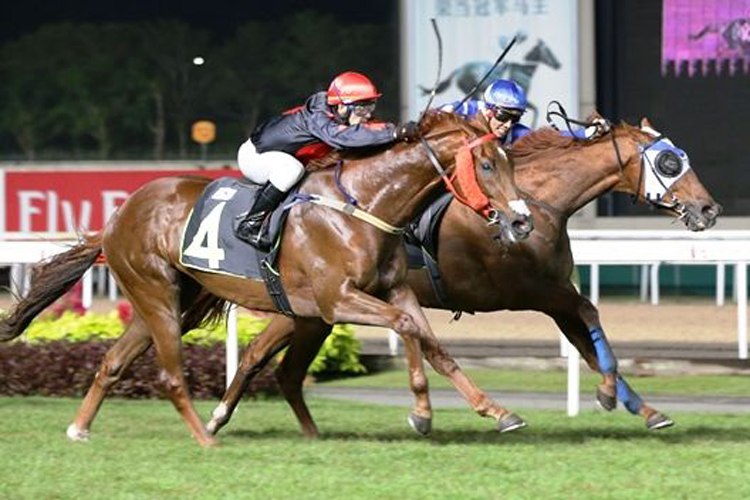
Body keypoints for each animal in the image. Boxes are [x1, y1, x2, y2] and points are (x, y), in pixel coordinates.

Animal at [0, 112, 536, 446]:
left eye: (510, 161)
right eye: (487, 164)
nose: (522, 221)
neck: (363, 204)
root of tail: (117, 217)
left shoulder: (394, 289)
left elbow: (434, 345)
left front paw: (497, 411)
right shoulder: (336, 300)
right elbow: (408, 332)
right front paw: (422, 413)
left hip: (173, 300)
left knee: (113, 361)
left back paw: (80, 428)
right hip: (155, 292)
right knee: (160, 368)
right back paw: (198, 432)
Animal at [206, 117, 724, 438]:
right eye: (670, 162)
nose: (708, 209)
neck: (537, 201)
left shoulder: (554, 292)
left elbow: (589, 342)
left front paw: (643, 409)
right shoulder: (535, 291)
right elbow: (589, 315)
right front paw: (608, 395)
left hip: (309, 311)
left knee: (264, 359)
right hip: (320, 305)